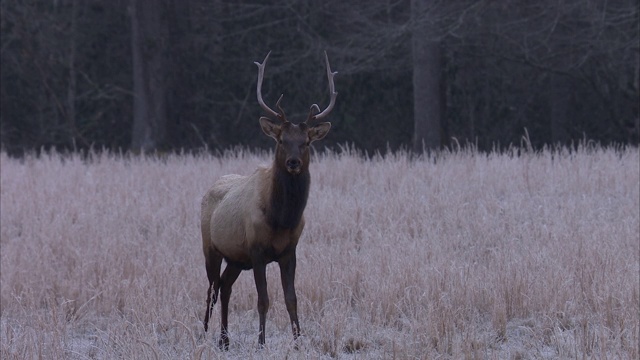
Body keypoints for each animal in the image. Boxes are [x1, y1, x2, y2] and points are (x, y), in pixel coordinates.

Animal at [202, 51, 338, 348]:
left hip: (235, 258)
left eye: (306, 142)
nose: (293, 162)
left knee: (225, 287)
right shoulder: (256, 249)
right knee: (211, 289)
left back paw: (224, 340)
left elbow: (292, 299)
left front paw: (299, 342)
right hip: (210, 247)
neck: (281, 218)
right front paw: (261, 342)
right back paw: (204, 334)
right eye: (281, 140)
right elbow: (263, 300)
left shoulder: (289, 251)